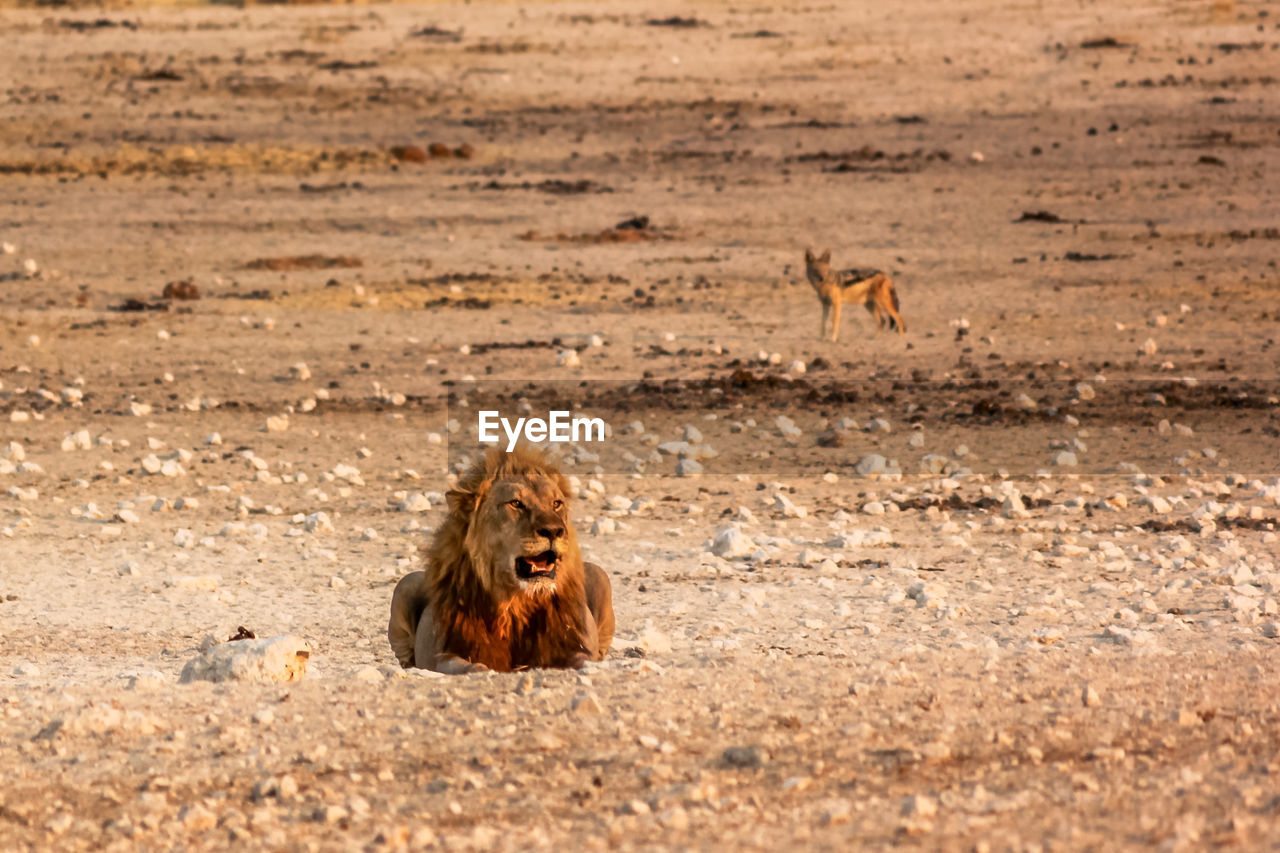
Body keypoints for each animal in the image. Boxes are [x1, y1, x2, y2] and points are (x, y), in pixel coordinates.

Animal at [384, 445, 614, 671]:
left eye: (556, 503)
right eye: (516, 503)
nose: (554, 530)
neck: (515, 600)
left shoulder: (571, 644)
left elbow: (584, 658)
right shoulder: (442, 653)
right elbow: (469, 666)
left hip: (599, 574)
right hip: (406, 584)